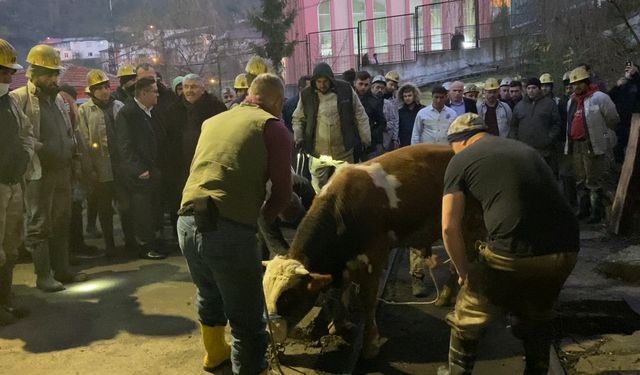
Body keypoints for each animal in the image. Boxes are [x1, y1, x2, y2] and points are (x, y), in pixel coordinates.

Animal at [262, 143, 482, 358]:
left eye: (287, 297)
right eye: (264, 293)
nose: (269, 334)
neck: (341, 209)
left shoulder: (373, 260)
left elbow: (368, 302)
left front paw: (370, 344)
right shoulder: (347, 262)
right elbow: (342, 291)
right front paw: (338, 324)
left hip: (468, 225)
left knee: (464, 262)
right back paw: (445, 296)